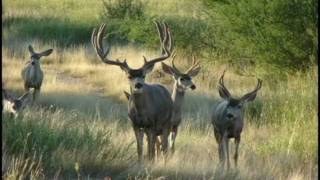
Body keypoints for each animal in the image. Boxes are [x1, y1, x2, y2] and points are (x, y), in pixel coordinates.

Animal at [91, 21, 174, 162]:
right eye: (129, 76)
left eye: (143, 75)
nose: (138, 85)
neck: (140, 112)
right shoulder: (135, 125)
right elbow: (139, 150)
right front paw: (140, 162)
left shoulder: (152, 124)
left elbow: (151, 152)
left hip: (166, 124)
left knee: (164, 148)